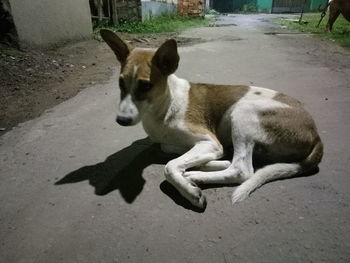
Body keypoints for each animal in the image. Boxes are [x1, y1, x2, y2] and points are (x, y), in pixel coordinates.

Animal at [100, 29, 324, 210]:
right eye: (120, 83)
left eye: (145, 86)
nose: (121, 120)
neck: (165, 106)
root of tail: (315, 134)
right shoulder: (177, 144)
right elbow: (174, 154)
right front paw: (205, 164)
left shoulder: (210, 141)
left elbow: (170, 166)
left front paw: (190, 192)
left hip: (242, 112)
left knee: (241, 170)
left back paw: (196, 176)